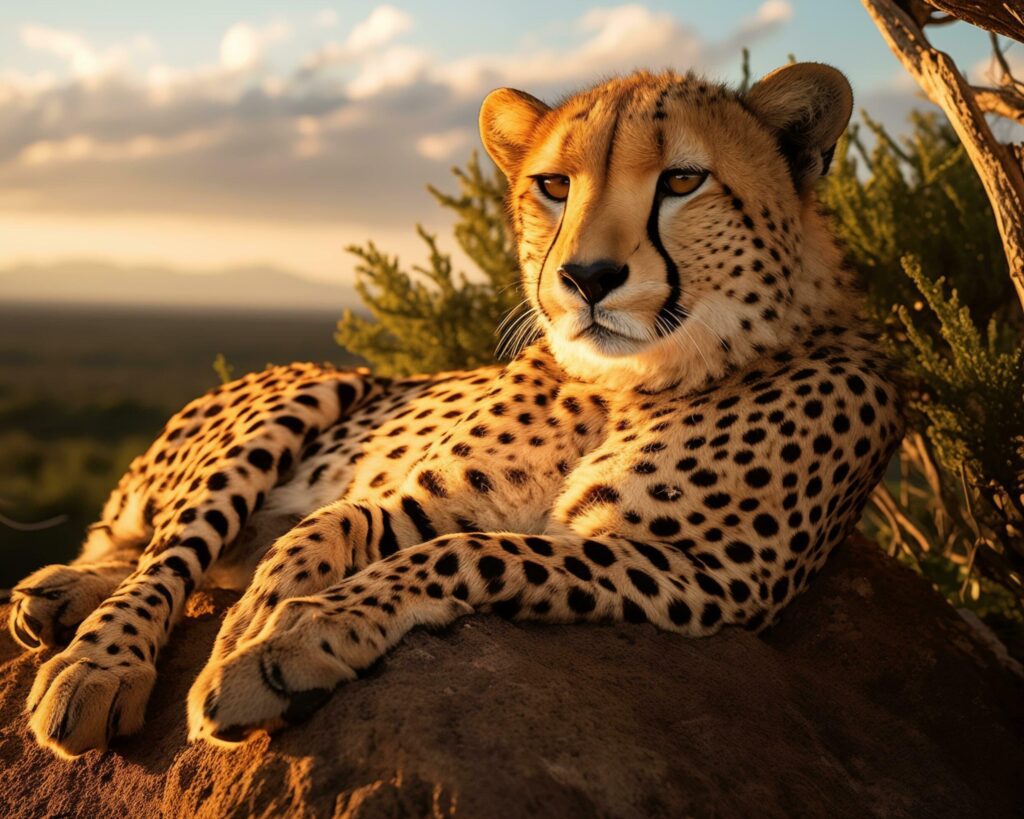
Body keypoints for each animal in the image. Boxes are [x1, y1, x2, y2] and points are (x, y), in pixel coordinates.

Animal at [12, 62, 901, 753]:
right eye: (554, 186)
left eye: (683, 180)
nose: (586, 278)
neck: (626, 382)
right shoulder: (435, 495)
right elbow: (329, 523)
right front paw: (255, 621)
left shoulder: (706, 577)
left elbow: (467, 550)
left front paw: (284, 637)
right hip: (320, 386)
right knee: (163, 553)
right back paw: (92, 662)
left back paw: (60, 595)